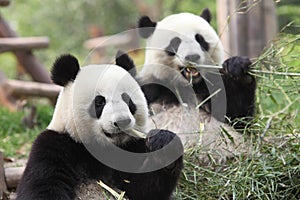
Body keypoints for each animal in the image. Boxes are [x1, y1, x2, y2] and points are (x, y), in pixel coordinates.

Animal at [15, 50, 183, 199]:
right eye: (99, 102)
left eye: (127, 99)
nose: (122, 121)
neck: (104, 148)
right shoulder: (56, 145)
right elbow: (42, 187)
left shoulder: (132, 148)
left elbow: (143, 190)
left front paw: (164, 144)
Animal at [136, 8, 255, 162]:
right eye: (175, 42)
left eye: (200, 39)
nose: (192, 56)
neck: (187, 86)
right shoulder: (149, 88)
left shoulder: (213, 88)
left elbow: (239, 119)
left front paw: (238, 69)